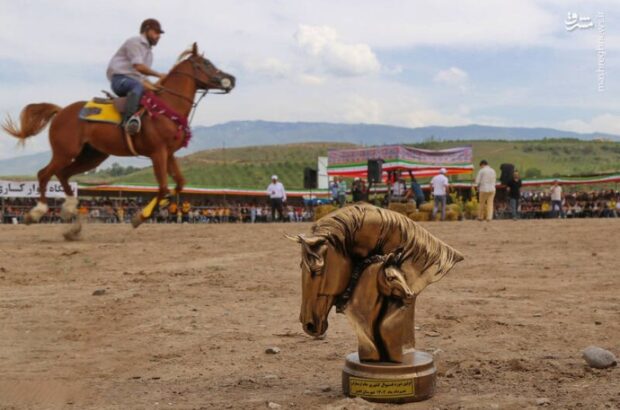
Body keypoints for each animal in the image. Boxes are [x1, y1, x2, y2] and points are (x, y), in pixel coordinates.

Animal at [3, 43, 235, 229]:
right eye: (206, 63)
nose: (231, 79)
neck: (166, 108)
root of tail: (61, 112)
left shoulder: (169, 154)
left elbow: (178, 184)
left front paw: (159, 207)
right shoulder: (158, 153)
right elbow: (162, 187)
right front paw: (140, 216)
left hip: (92, 156)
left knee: (63, 174)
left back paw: (69, 210)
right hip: (65, 151)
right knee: (44, 174)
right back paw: (37, 212)